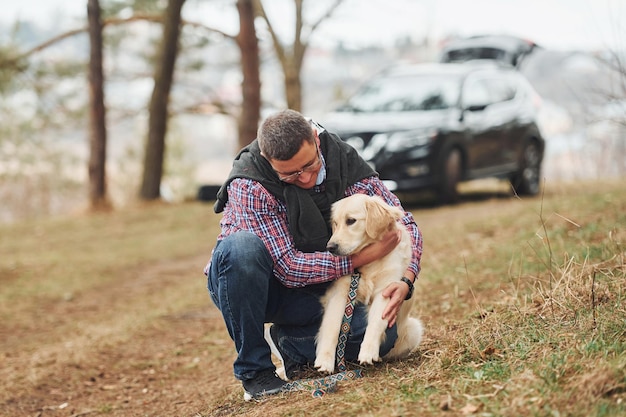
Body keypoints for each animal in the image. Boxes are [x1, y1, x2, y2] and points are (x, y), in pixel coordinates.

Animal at [314, 193, 422, 372]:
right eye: (335, 223)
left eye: (351, 221)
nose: (330, 247)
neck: (369, 264)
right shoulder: (340, 294)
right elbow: (332, 328)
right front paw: (325, 360)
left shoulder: (386, 291)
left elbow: (375, 323)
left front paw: (368, 352)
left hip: (414, 328)